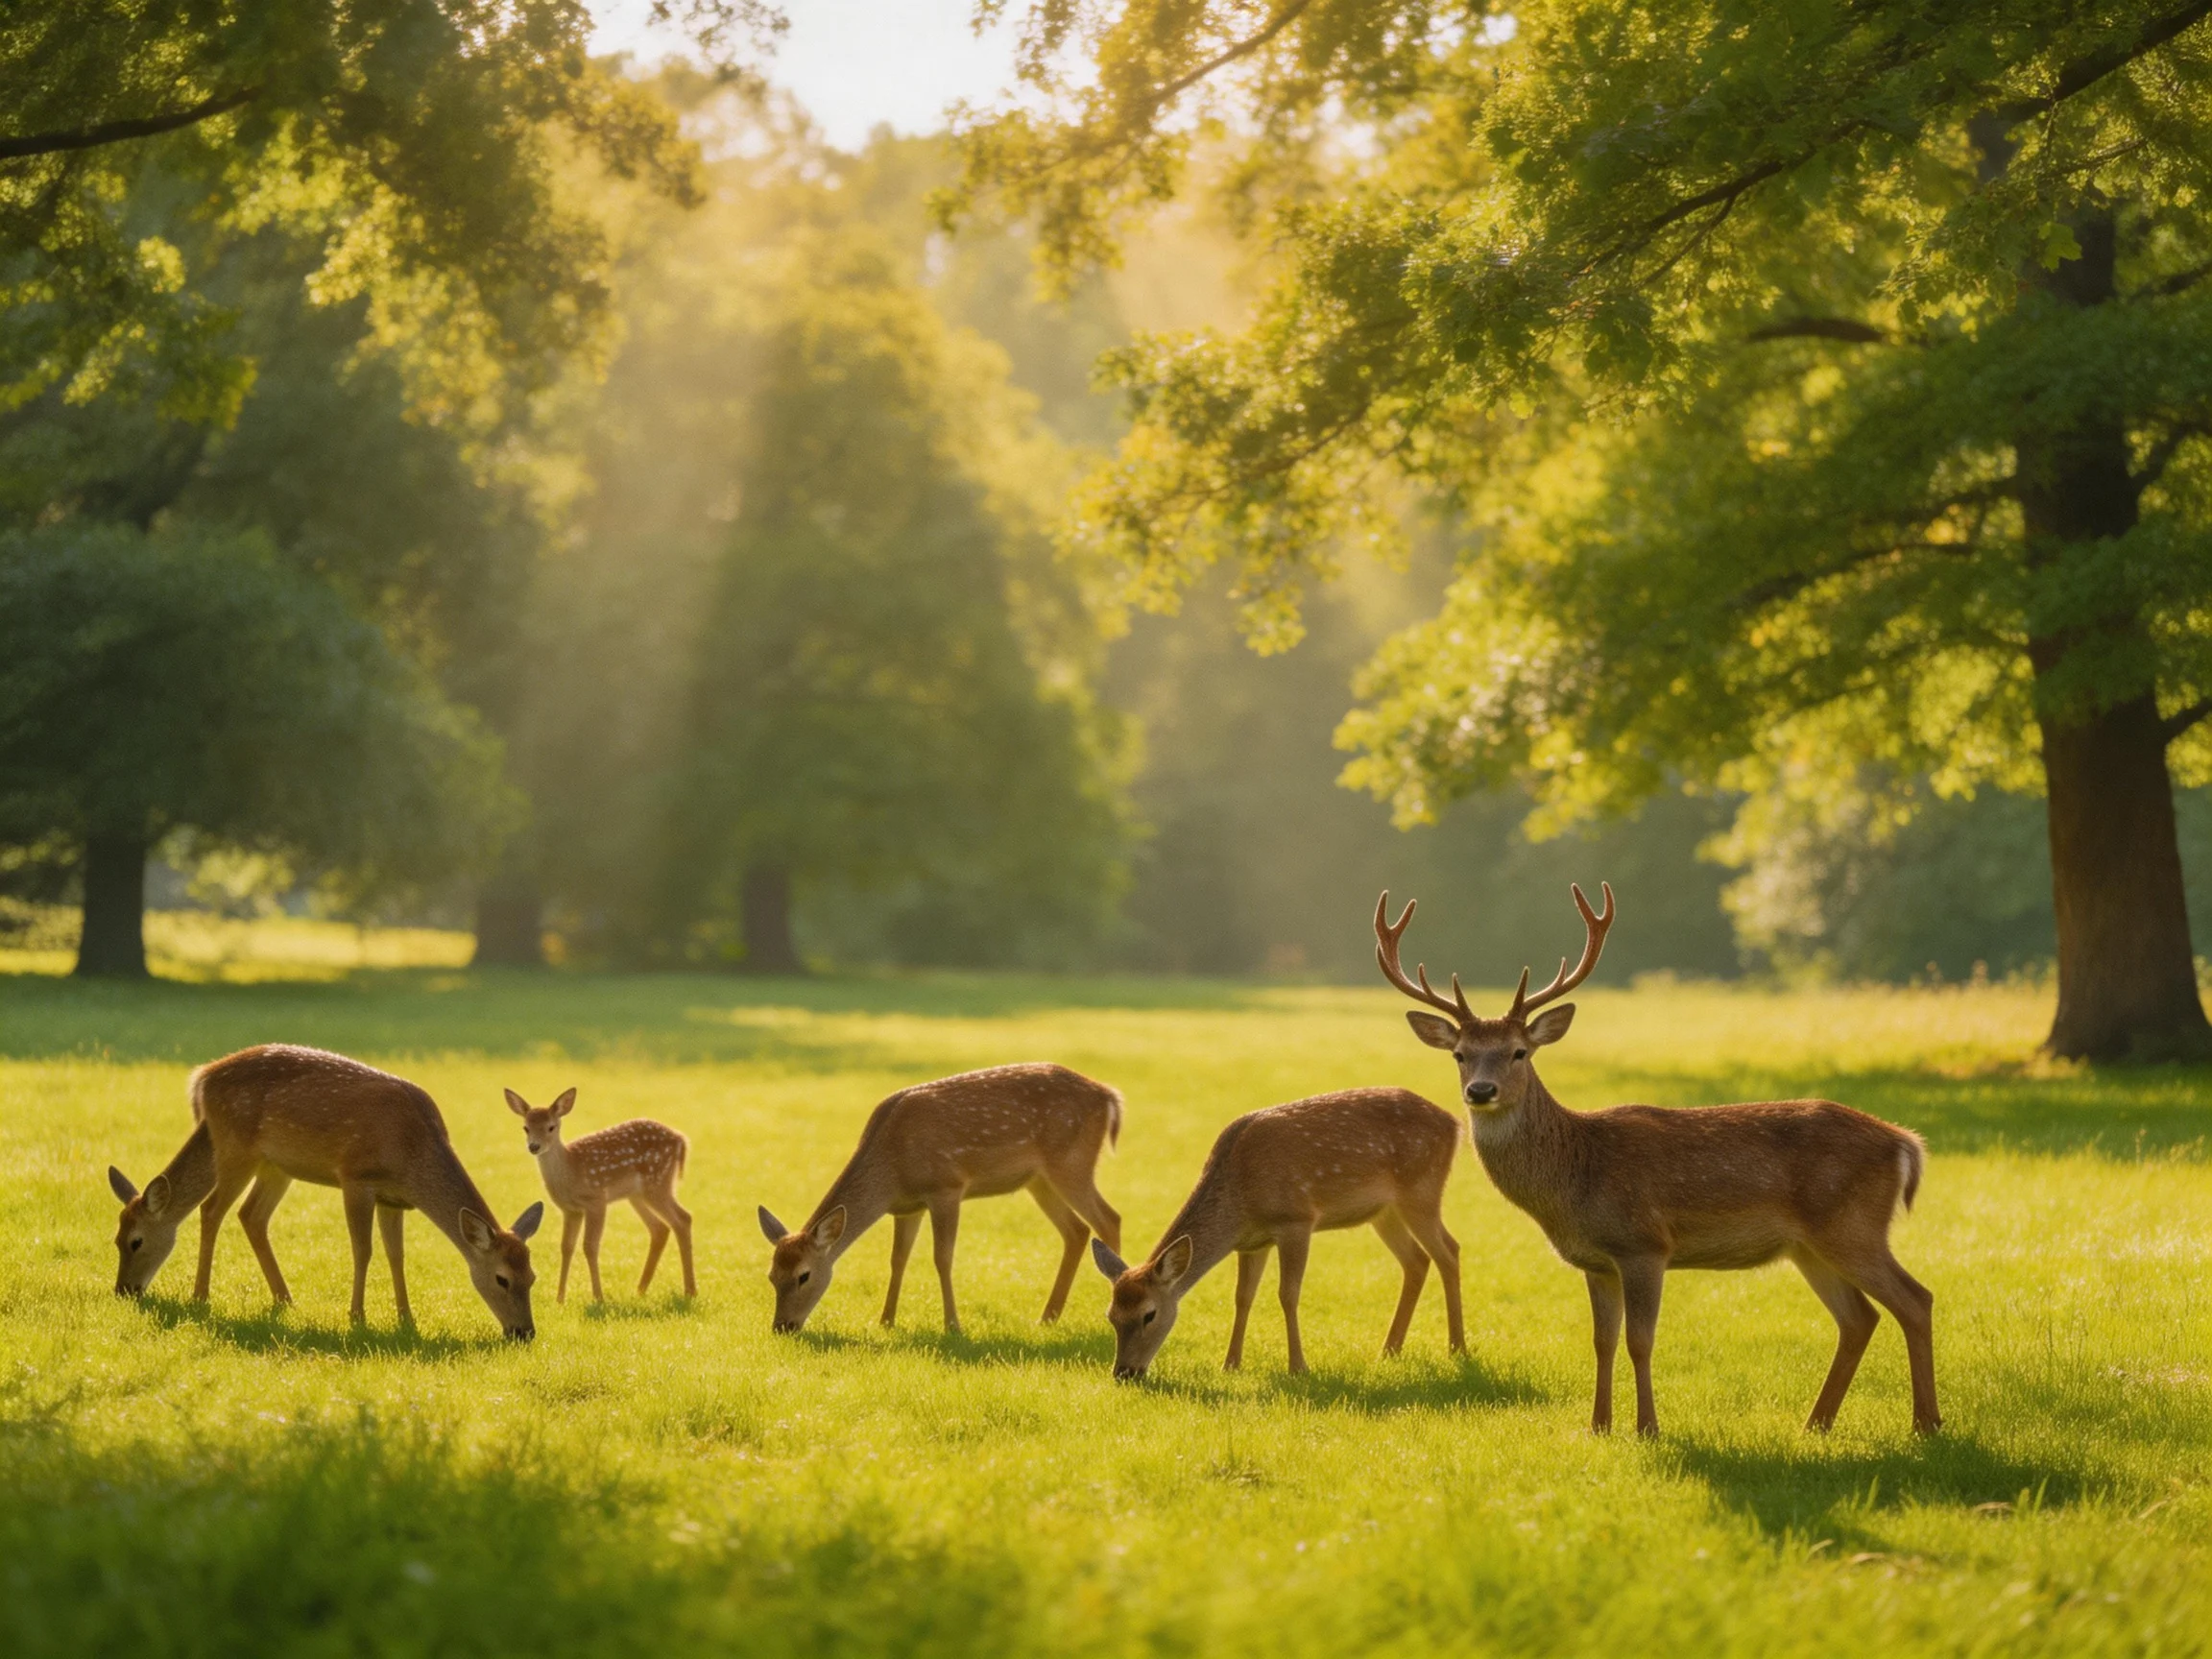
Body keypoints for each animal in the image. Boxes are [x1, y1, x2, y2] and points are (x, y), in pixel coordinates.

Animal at [107, 1044, 544, 1339]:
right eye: (503, 1279)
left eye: (533, 1276)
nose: (524, 1333)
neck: (412, 1155)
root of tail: (201, 1077)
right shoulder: (356, 1177)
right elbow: (362, 1250)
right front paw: (358, 1317)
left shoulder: (394, 1198)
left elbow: (397, 1255)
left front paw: (407, 1319)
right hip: (236, 1147)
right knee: (213, 1209)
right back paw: (201, 1297)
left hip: (274, 1165)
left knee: (251, 1214)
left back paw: (284, 1299)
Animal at [506, 1088, 695, 1302]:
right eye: (526, 1128)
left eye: (551, 1127)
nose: (534, 1146)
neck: (571, 1170)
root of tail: (681, 1140)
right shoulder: (570, 1210)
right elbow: (566, 1247)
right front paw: (560, 1299)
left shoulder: (596, 1200)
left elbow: (590, 1246)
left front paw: (598, 1297)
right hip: (637, 1194)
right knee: (660, 1228)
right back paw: (640, 1290)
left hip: (657, 1182)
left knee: (683, 1218)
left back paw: (690, 1291)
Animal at [757, 1062, 1123, 1334]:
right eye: (772, 1275)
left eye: (804, 1275)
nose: (782, 1326)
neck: (892, 1171)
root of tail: (1109, 1095)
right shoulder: (906, 1208)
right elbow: (898, 1259)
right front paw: (885, 1320)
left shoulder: (946, 1187)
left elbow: (942, 1257)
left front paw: (953, 1326)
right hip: (1039, 1180)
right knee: (1077, 1230)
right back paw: (1047, 1317)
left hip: (1071, 1162)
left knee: (1109, 1218)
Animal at [1090, 1088, 1465, 1379]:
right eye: (1111, 1316)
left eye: (1149, 1314)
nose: (1124, 1372)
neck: (1241, 1200)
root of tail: (1455, 1124)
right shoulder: (1252, 1243)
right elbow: (1243, 1297)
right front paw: (1230, 1364)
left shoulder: (1296, 1220)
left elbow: (1288, 1294)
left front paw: (1298, 1367)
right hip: (1384, 1213)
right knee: (1416, 1260)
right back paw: (1389, 1350)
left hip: (1422, 1190)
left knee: (1449, 1250)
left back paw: (1457, 1348)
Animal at [1375, 884, 1939, 1436]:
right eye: (1460, 1055)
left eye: (1519, 1051)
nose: (1480, 1091)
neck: (1576, 1178)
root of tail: (1905, 1142)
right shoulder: (1595, 1260)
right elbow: (1602, 1341)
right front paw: (1599, 1425)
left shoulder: (1645, 1244)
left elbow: (1639, 1341)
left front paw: (1648, 1427)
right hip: (1809, 1246)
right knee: (1859, 1318)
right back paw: (1816, 1424)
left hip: (1852, 1224)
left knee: (1915, 1299)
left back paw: (1925, 1423)